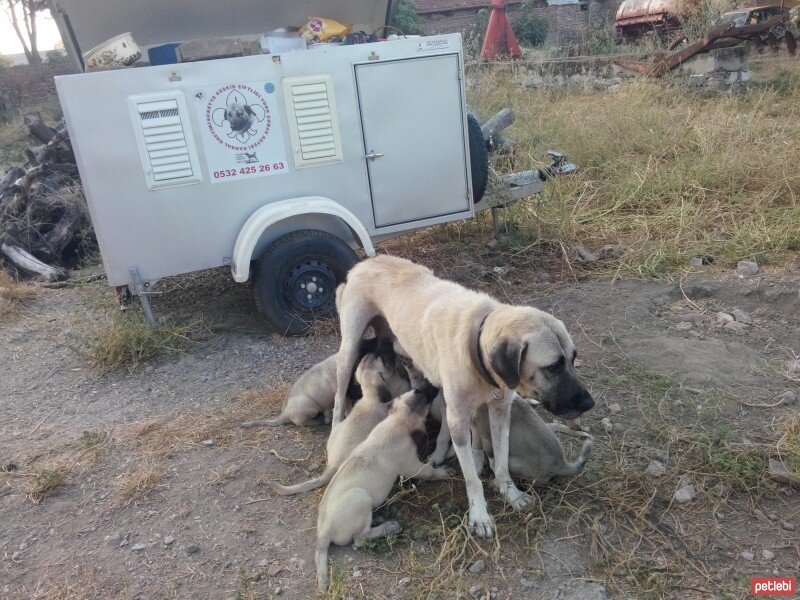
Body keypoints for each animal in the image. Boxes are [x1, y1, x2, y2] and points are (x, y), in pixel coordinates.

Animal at [242, 338, 406, 432]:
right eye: (377, 350)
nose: (389, 340)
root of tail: (284, 414)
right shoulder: (345, 395)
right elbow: (347, 409)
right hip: (311, 408)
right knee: (303, 423)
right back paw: (322, 419)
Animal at [316, 380, 450, 592]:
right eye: (427, 398)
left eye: (418, 390)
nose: (431, 384)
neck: (395, 423)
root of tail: (323, 532)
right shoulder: (412, 465)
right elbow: (429, 471)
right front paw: (443, 472)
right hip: (361, 498)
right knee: (360, 539)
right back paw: (390, 526)